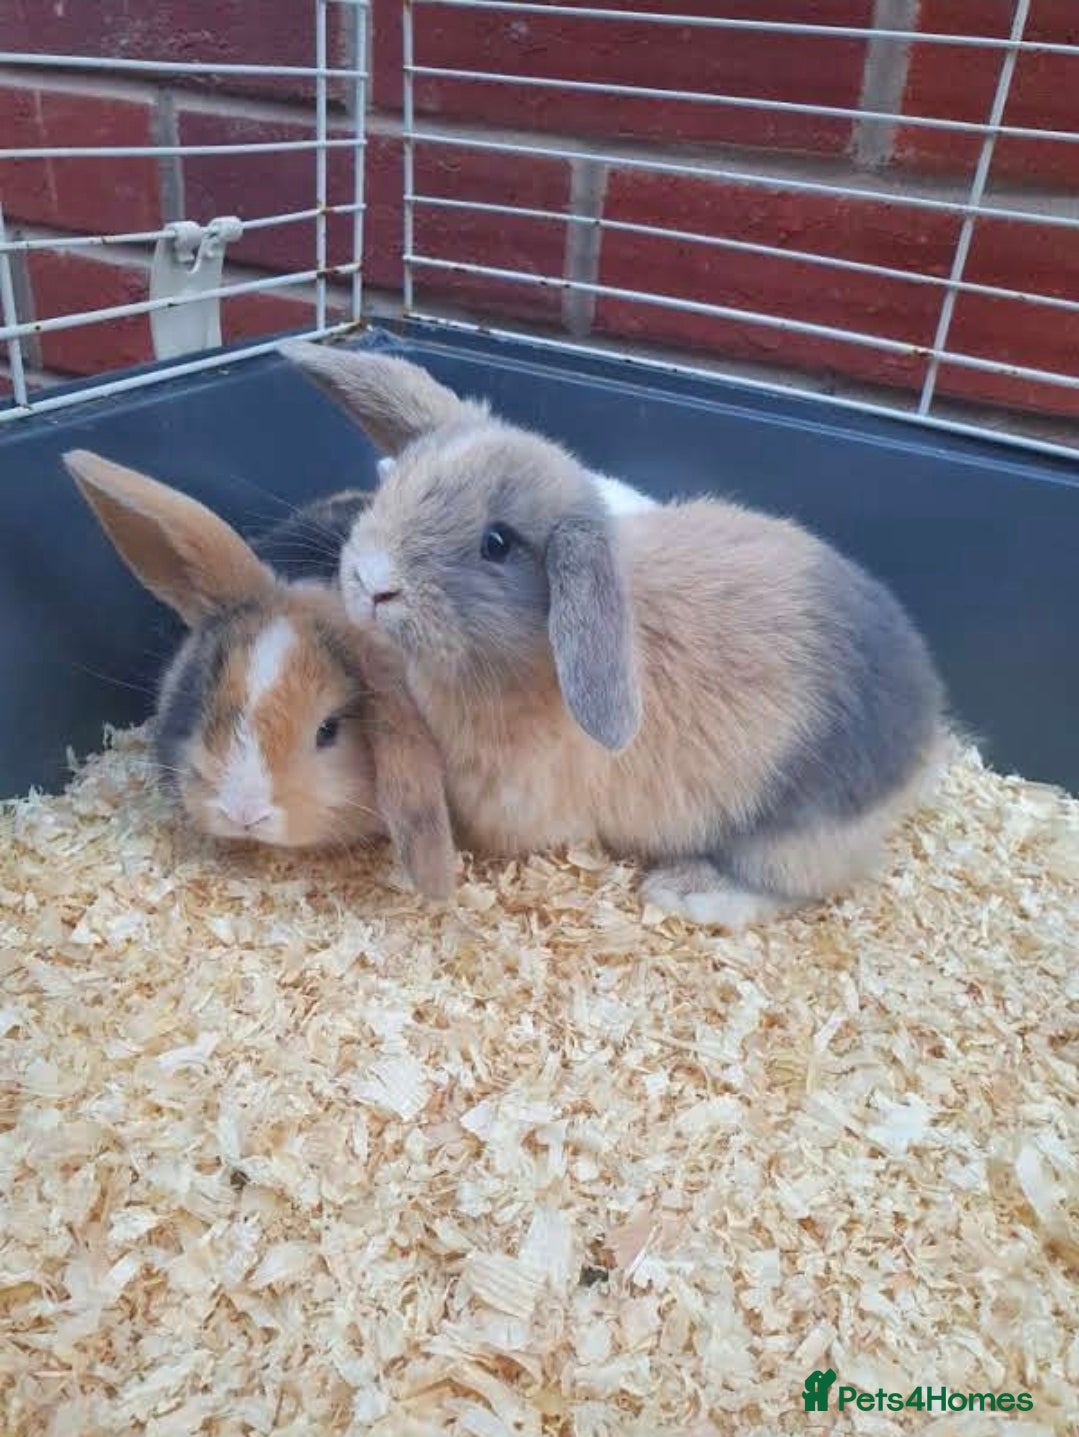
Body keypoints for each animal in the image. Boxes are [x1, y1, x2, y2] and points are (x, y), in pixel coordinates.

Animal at [278, 341, 947, 930]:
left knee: (800, 887)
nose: (370, 581)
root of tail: (926, 728)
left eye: (497, 544)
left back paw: (685, 890)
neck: (528, 656)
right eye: (392, 488)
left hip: (789, 837)